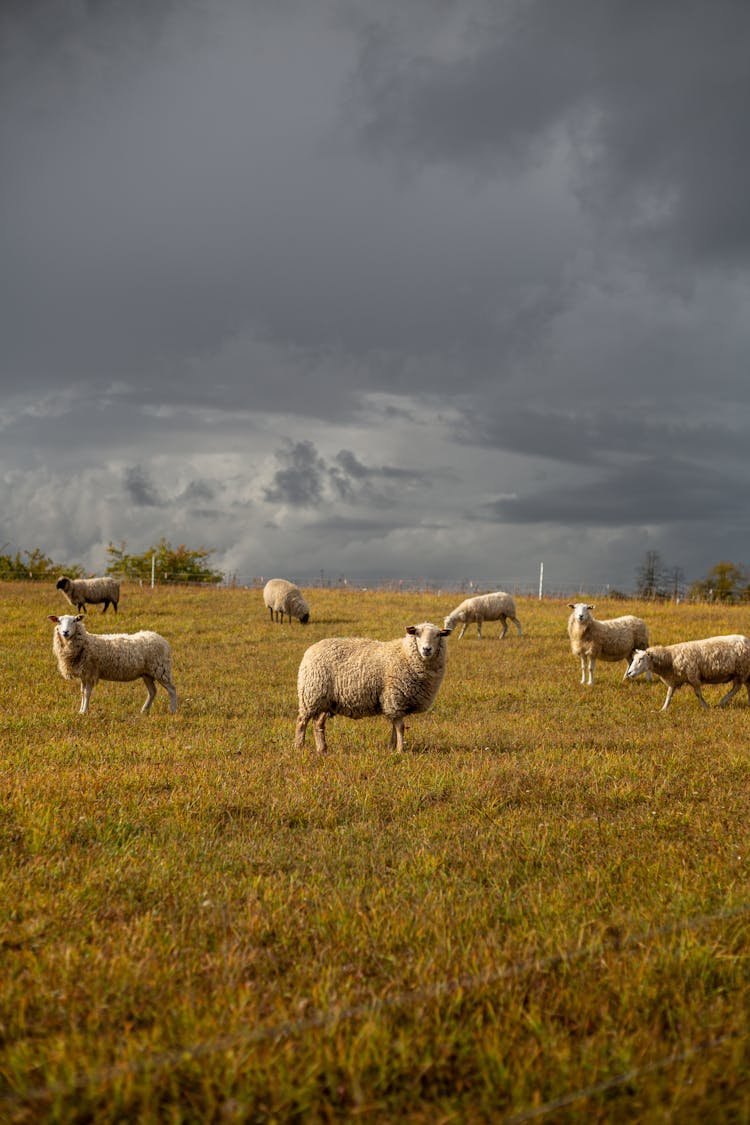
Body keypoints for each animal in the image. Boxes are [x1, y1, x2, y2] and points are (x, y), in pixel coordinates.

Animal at [48, 612, 177, 715]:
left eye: (74, 620)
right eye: (59, 621)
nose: (65, 632)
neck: (85, 643)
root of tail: (162, 640)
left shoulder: (90, 672)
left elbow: (87, 693)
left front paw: (84, 711)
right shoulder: (84, 674)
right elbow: (82, 692)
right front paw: (80, 710)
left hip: (161, 669)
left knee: (172, 689)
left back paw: (173, 710)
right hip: (147, 673)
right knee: (152, 691)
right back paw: (144, 710)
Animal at [296, 625, 452, 756]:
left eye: (438, 635)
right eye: (417, 634)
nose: (427, 649)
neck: (405, 654)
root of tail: (311, 649)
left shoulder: (396, 703)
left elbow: (395, 727)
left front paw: (392, 747)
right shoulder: (394, 698)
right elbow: (400, 727)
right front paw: (400, 750)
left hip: (327, 700)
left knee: (318, 724)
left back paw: (322, 749)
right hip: (310, 695)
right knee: (301, 722)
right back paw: (299, 747)